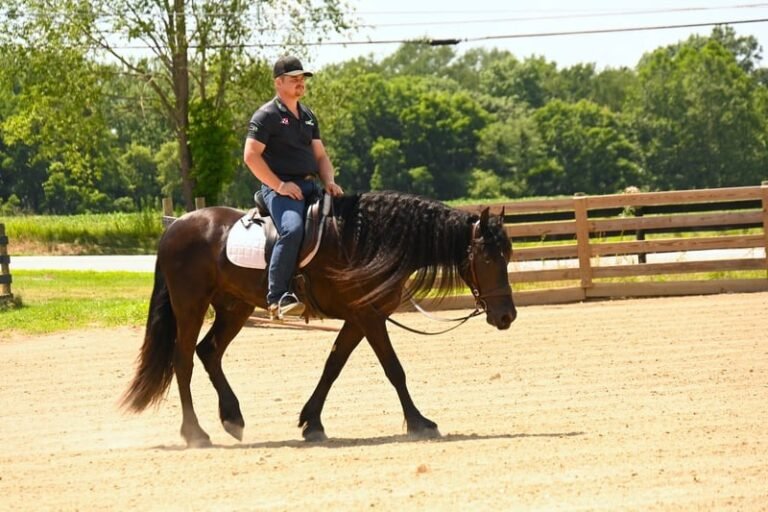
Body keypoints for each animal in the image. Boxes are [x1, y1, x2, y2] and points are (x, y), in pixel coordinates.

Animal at [121, 190, 517, 447]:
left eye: (509, 255)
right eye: (487, 258)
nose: (506, 315)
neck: (367, 240)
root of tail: (176, 227)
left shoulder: (359, 318)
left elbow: (333, 366)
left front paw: (312, 423)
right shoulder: (369, 317)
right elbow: (394, 369)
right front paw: (420, 423)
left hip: (235, 307)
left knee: (209, 353)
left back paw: (232, 418)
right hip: (190, 305)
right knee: (183, 360)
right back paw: (196, 433)